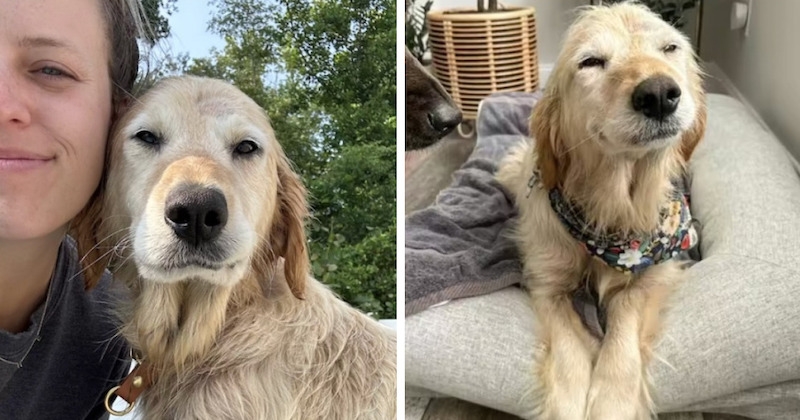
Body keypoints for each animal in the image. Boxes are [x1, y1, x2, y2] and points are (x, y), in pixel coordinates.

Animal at [500, 3, 708, 420]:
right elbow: (568, 339)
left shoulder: (659, 268)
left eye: (670, 48)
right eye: (591, 61)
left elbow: (626, 304)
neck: (612, 213)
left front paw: (613, 398)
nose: (658, 94)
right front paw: (569, 399)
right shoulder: (545, 281)